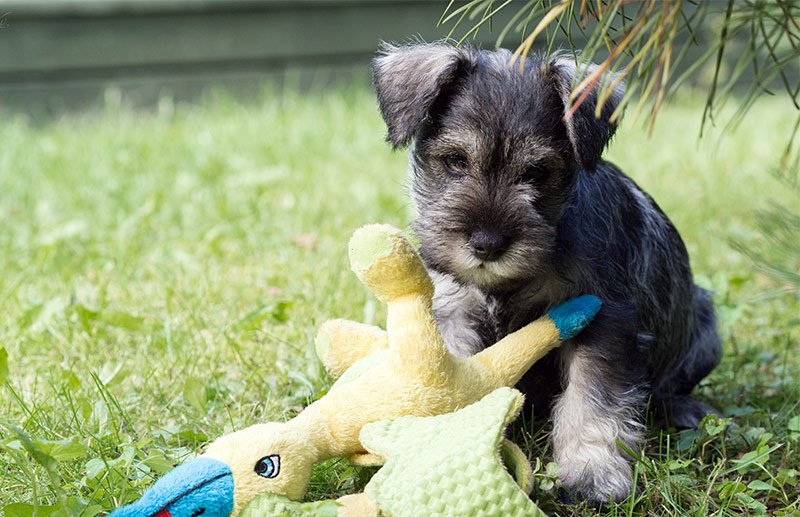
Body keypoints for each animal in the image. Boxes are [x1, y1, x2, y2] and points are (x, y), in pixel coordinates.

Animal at [372, 42, 720, 502]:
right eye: (454, 161)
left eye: (537, 172)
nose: (486, 243)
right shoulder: (454, 314)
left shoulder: (601, 319)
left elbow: (592, 398)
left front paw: (592, 471)